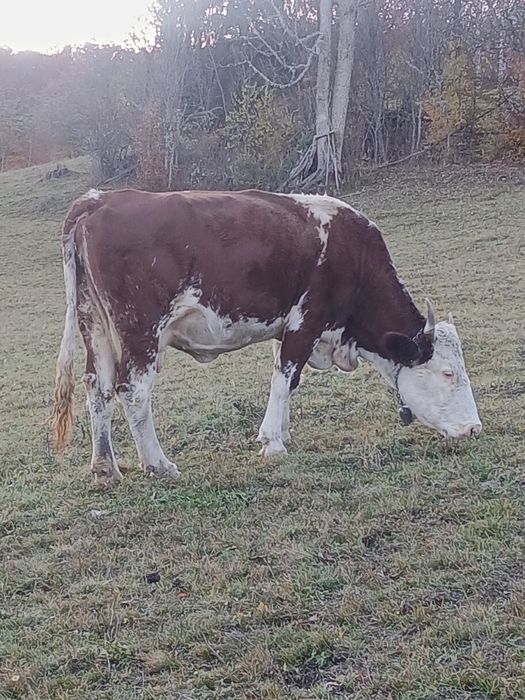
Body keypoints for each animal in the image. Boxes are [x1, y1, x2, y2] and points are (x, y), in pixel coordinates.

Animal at [52, 188, 481, 487]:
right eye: (447, 373)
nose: (474, 429)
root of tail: (100, 199)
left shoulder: (288, 325)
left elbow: (286, 378)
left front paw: (283, 431)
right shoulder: (306, 320)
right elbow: (285, 377)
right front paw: (272, 442)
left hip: (95, 325)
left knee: (98, 387)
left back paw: (105, 466)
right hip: (140, 330)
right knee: (133, 392)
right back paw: (158, 464)